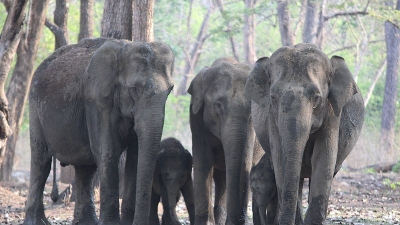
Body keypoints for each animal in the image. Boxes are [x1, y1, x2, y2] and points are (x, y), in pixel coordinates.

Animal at [24, 37, 174, 224]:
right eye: (134, 89)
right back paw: (37, 221)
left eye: (170, 90)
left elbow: (136, 156)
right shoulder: (96, 99)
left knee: (85, 167)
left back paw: (86, 221)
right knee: (41, 161)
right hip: (34, 107)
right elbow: (107, 152)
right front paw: (112, 224)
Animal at [188, 57, 256, 224]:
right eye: (218, 106)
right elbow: (203, 161)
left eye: (251, 108)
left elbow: (245, 162)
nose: (240, 217)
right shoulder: (196, 117)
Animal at [244, 43, 366, 224]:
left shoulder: (332, 114)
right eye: (273, 98)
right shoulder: (272, 119)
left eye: (316, 98)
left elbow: (323, 159)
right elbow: (280, 160)